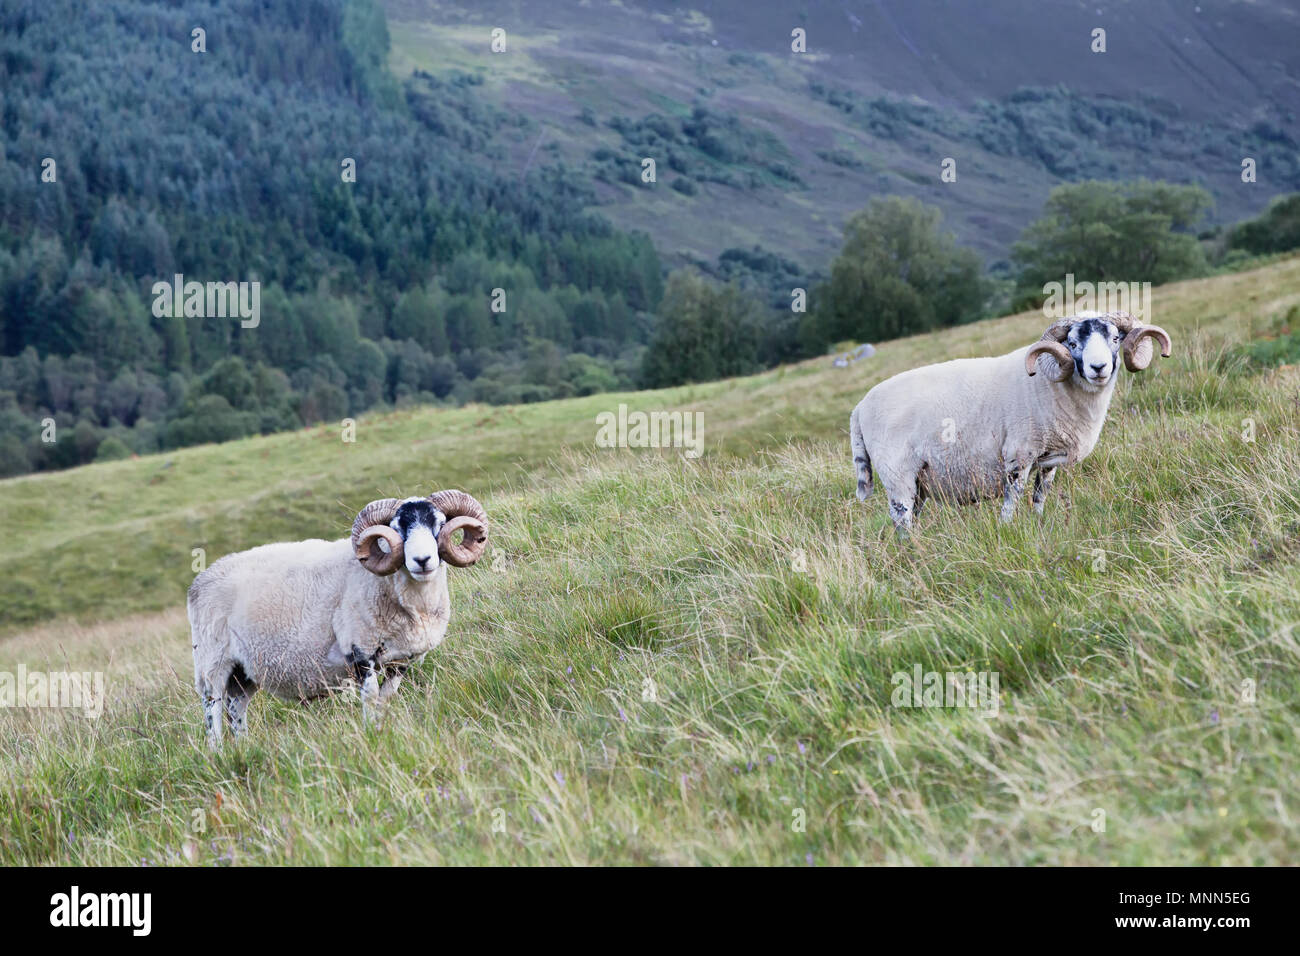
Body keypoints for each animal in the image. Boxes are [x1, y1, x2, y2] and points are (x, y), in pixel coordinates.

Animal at [187, 489, 489, 748]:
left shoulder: (402, 661)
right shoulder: (361, 652)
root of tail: (200, 581)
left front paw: (383, 728)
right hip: (212, 662)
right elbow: (371, 698)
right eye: (397, 528)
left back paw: (244, 749)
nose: (422, 560)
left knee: (236, 709)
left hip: (244, 672)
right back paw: (219, 754)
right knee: (213, 710)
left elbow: (386, 699)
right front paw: (371, 735)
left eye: (439, 523)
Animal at [849, 311, 1171, 532]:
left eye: (1115, 338)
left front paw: (1038, 523)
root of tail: (860, 407)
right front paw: (1007, 530)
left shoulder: (1049, 459)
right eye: (1072, 342)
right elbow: (1012, 500)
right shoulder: (1019, 454)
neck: (1049, 385)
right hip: (897, 475)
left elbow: (1040, 496)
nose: (1098, 368)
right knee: (901, 522)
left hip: (917, 483)